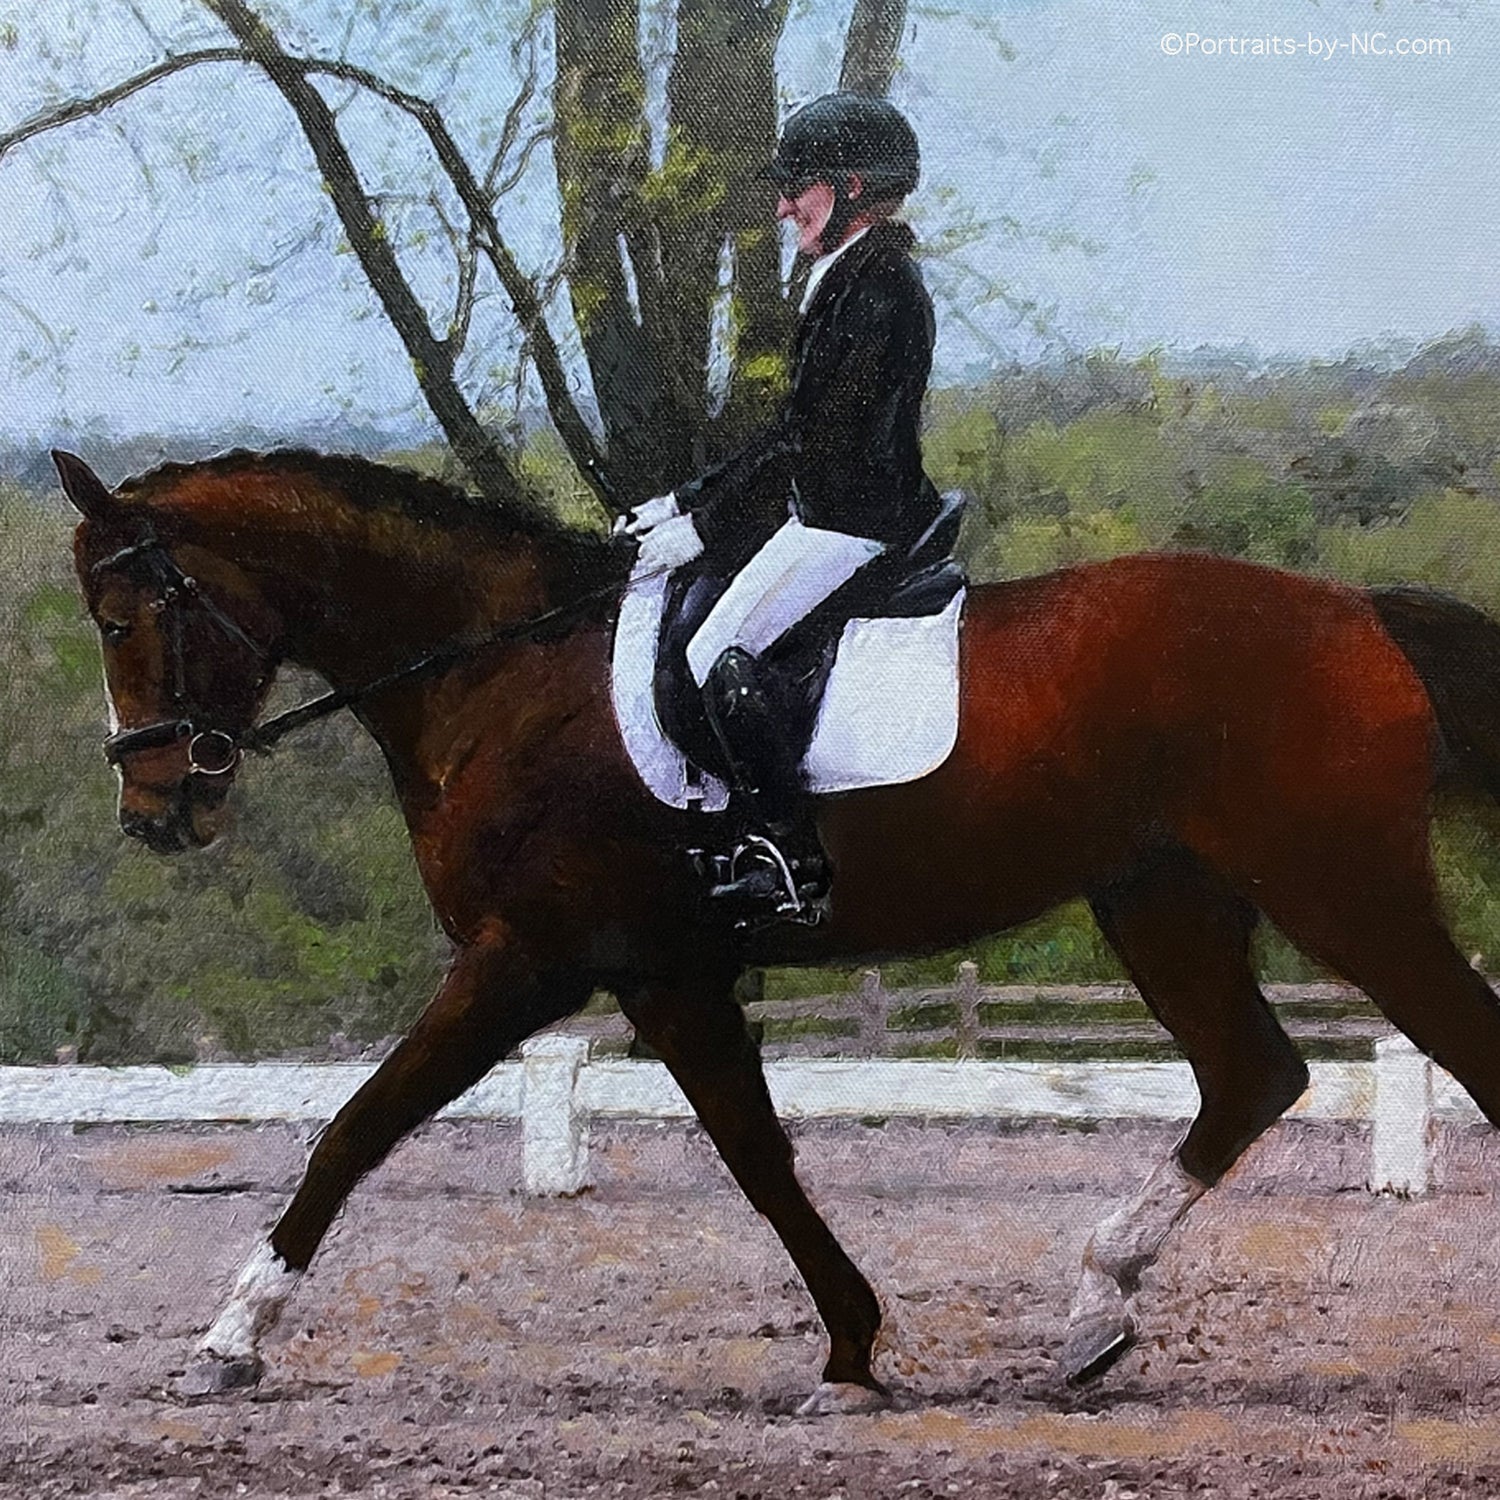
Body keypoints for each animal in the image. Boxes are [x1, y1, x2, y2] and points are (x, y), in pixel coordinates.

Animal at [53, 445, 1500, 1411]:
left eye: (128, 618)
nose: (155, 810)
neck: (499, 673)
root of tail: (1360, 612)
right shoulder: (662, 973)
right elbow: (759, 1155)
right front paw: (855, 1351)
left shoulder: (538, 958)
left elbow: (358, 1127)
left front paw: (227, 1343)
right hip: (1164, 898)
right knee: (1252, 1074)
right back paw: (1093, 1314)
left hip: (1340, 889)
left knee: (1452, 1044)